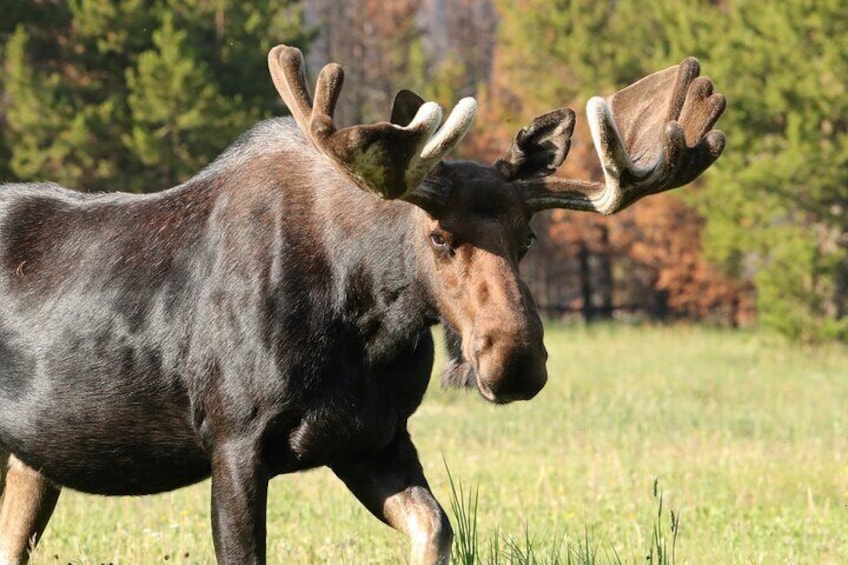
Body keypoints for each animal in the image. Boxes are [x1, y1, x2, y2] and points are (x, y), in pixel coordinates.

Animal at [0, 45, 724, 564]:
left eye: (528, 237)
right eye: (439, 236)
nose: (516, 361)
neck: (365, 324)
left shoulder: (372, 438)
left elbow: (435, 529)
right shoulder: (233, 438)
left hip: (30, 461)